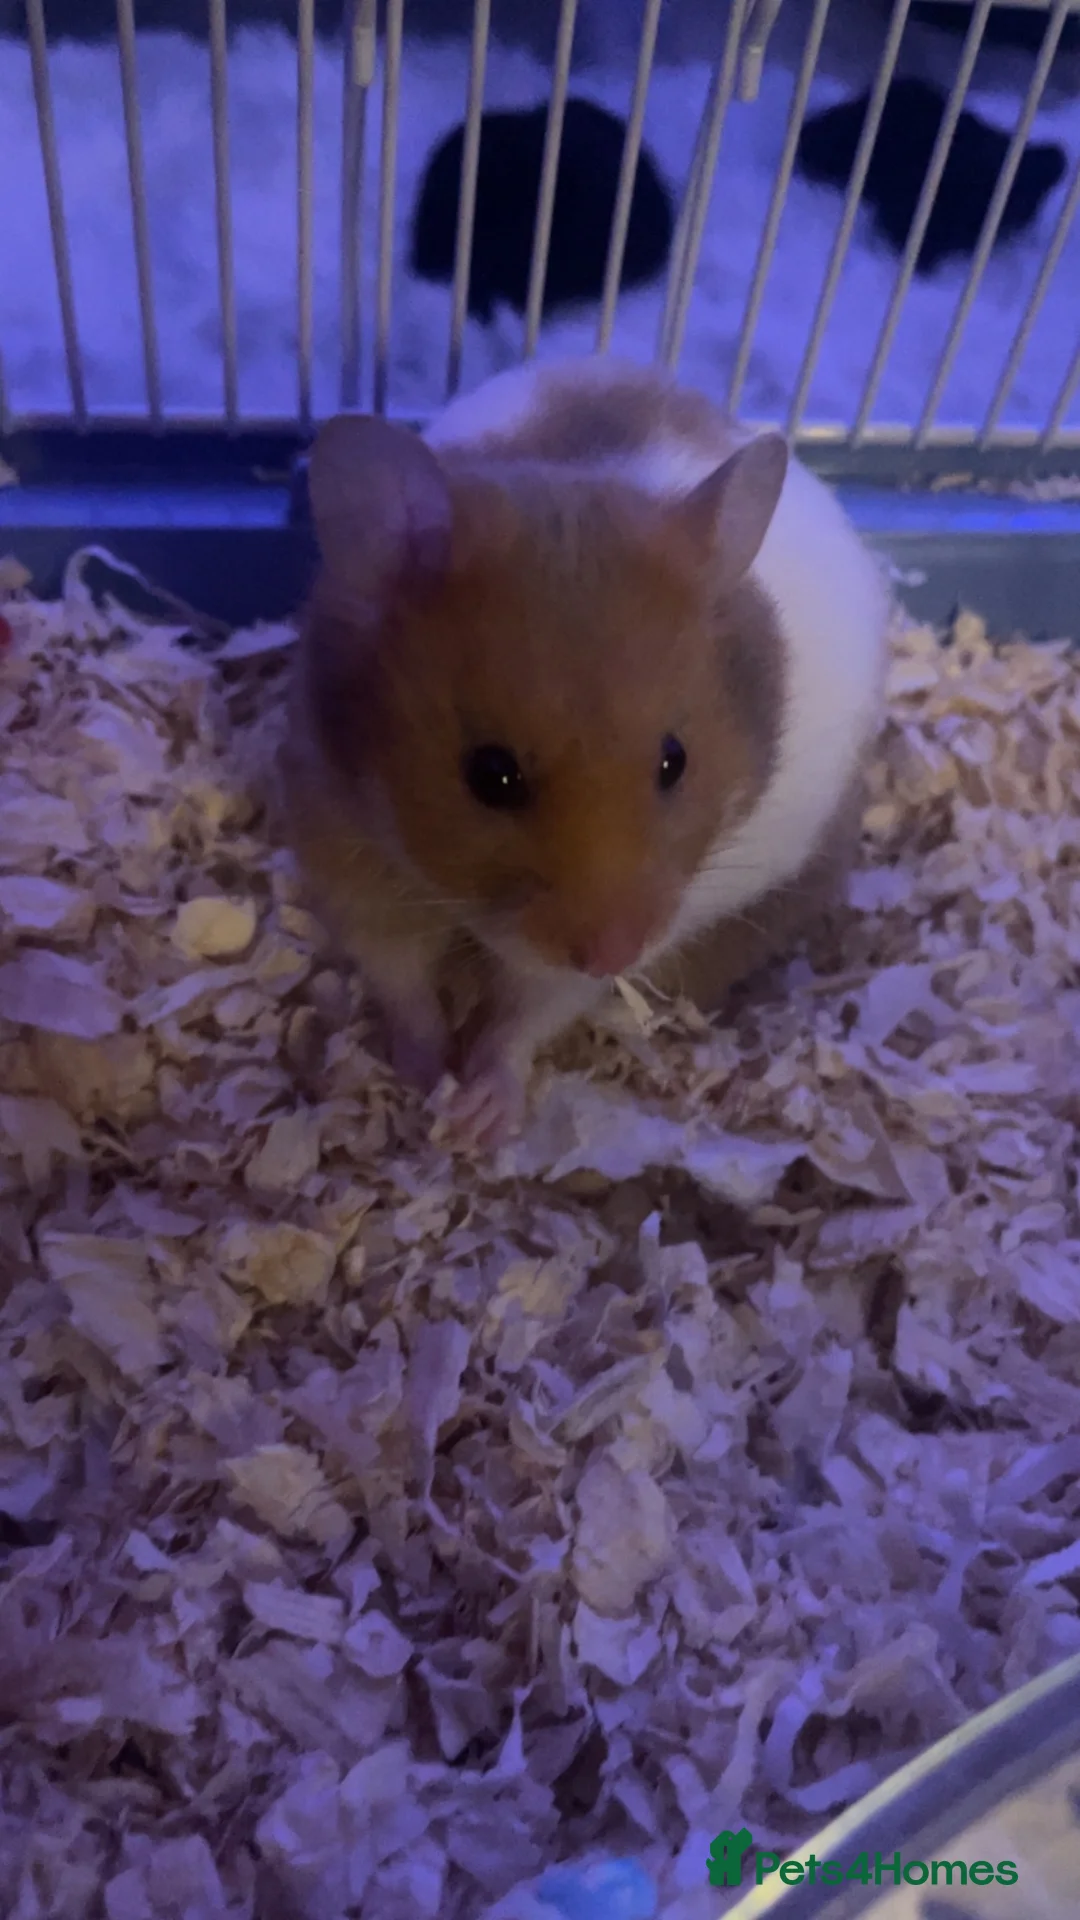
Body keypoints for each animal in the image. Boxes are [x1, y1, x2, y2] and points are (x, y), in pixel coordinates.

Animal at [281, 356, 890, 1148]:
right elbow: (400, 978)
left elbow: (527, 1013)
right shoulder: (346, 845)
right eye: (491, 775)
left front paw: (478, 1115)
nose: (615, 953)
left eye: (674, 760)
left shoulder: (612, 945)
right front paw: (423, 1079)